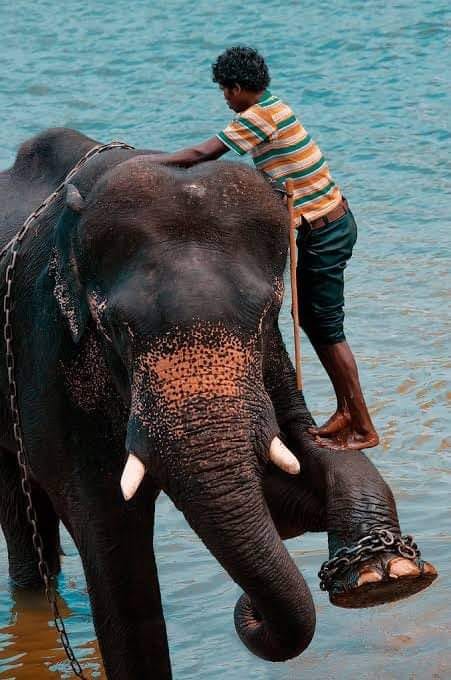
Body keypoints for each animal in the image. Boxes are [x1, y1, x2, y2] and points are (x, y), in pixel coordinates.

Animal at [0, 128, 437, 679]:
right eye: (117, 329)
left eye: (268, 312)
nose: (250, 610)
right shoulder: (49, 353)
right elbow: (111, 539)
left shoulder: (273, 361)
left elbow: (290, 469)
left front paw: (383, 573)